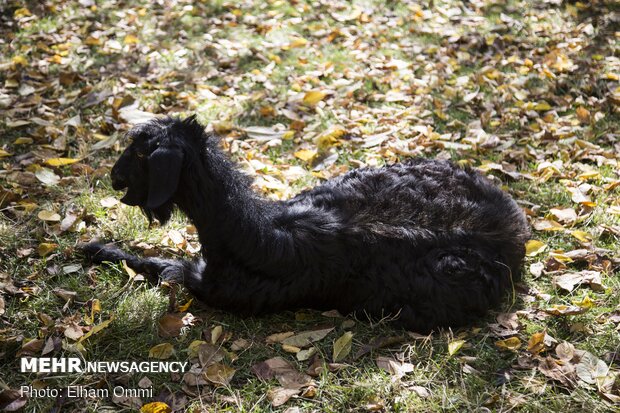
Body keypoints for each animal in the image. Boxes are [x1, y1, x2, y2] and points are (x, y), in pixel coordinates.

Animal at [82, 115, 528, 332]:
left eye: (143, 153)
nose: (113, 177)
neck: (250, 231)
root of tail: (515, 225)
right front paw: (97, 247)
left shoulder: (212, 288)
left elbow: (163, 267)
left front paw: (97, 249)